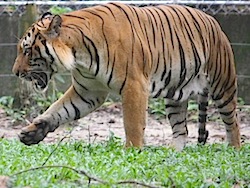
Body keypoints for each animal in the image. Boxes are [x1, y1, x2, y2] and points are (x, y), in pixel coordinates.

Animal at [12, 2, 240, 151]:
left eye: (27, 50)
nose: (15, 72)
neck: (79, 53)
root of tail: (212, 20)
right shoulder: (88, 92)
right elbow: (58, 110)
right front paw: (32, 132)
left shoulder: (134, 85)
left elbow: (132, 123)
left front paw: (132, 151)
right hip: (176, 93)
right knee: (181, 129)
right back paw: (172, 153)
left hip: (223, 84)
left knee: (232, 122)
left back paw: (234, 150)